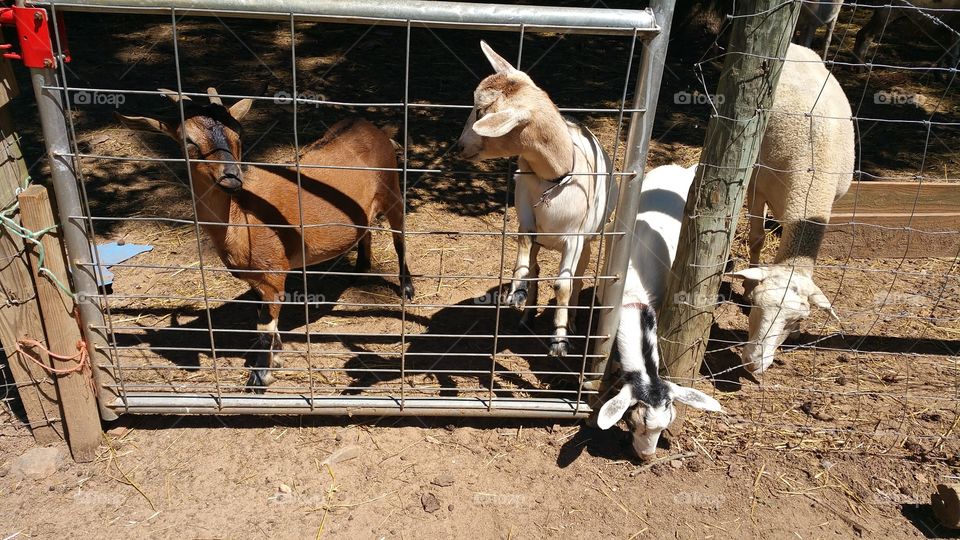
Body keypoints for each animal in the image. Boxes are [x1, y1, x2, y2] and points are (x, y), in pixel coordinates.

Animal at [118, 88, 414, 391]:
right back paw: (361, 268)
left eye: (238, 134)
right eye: (188, 140)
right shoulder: (256, 280)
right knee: (367, 227)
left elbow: (265, 327)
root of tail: (373, 128)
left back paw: (407, 287)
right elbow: (263, 320)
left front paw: (261, 376)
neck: (240, 219)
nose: (232, 176)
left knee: (399, 235)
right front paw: (276, 358)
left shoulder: (274, 274)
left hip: (392, 188)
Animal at [454, 41, 617, 358]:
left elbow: (564, 286)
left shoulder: (575, 237)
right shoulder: (526, 214)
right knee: (537, 266)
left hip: (587, 242)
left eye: (481, 112)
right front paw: (517, 292)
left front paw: (559, 341)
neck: (554, 179)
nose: (459, 146)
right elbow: (524, 244)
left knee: (578, 275)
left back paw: (573, 323)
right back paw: (527, 314)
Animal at [727, 44, 852, 374]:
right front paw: (746, 285)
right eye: (756, 305)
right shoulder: (756, 186)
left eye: (798, 318)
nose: (753, 363)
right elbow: (757, 238)